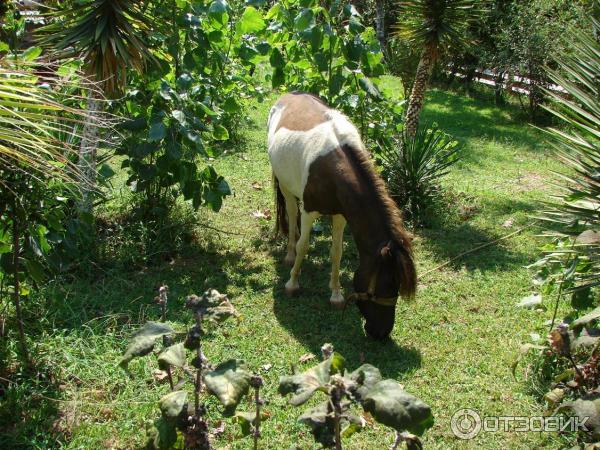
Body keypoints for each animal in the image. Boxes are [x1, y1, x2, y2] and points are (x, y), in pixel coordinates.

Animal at [268, 92, 418, 338]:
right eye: (386, 284)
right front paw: (292, 283)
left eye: (396, 287)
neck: (333, 170)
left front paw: (336, 295)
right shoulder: (309, 212)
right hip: (285, 186)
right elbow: (303, 245)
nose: (381, 334)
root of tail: (290, 95)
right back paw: (289, 255)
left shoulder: (340, 215)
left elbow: (336, 253)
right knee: (290, 213)